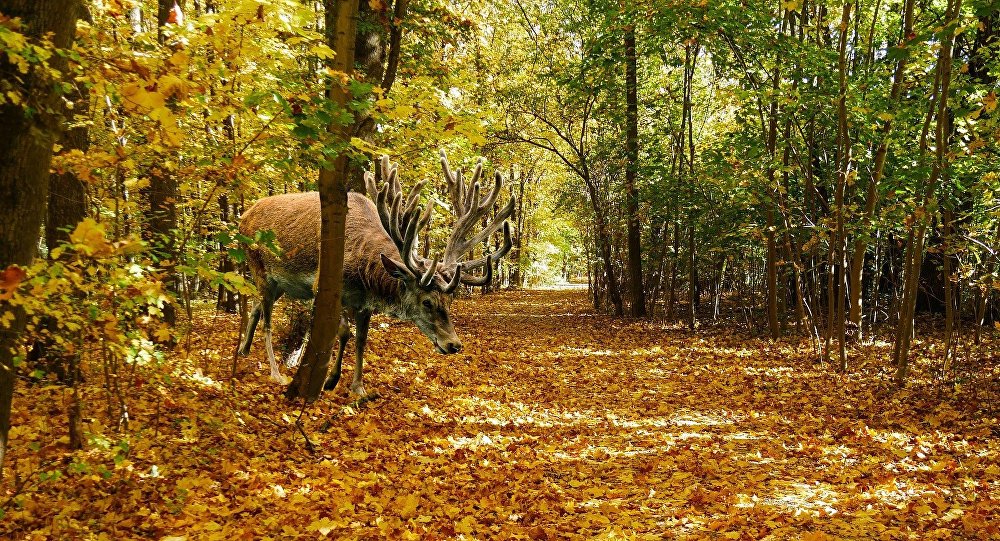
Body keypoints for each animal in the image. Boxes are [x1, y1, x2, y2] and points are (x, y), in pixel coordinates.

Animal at [237, 150, 512, 394]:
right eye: (427, 301)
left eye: (451, 299)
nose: (454, 344)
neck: (364, 273)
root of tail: (243, 217)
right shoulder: (325, 286)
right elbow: (344, 332)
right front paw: (331, 380)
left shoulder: (364, 302)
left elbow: (361, 340)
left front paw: (358, 387)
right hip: (257, 265)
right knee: (267, 319)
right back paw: (275, 372)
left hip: (279, 285)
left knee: (256, 306)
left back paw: (243, 350)